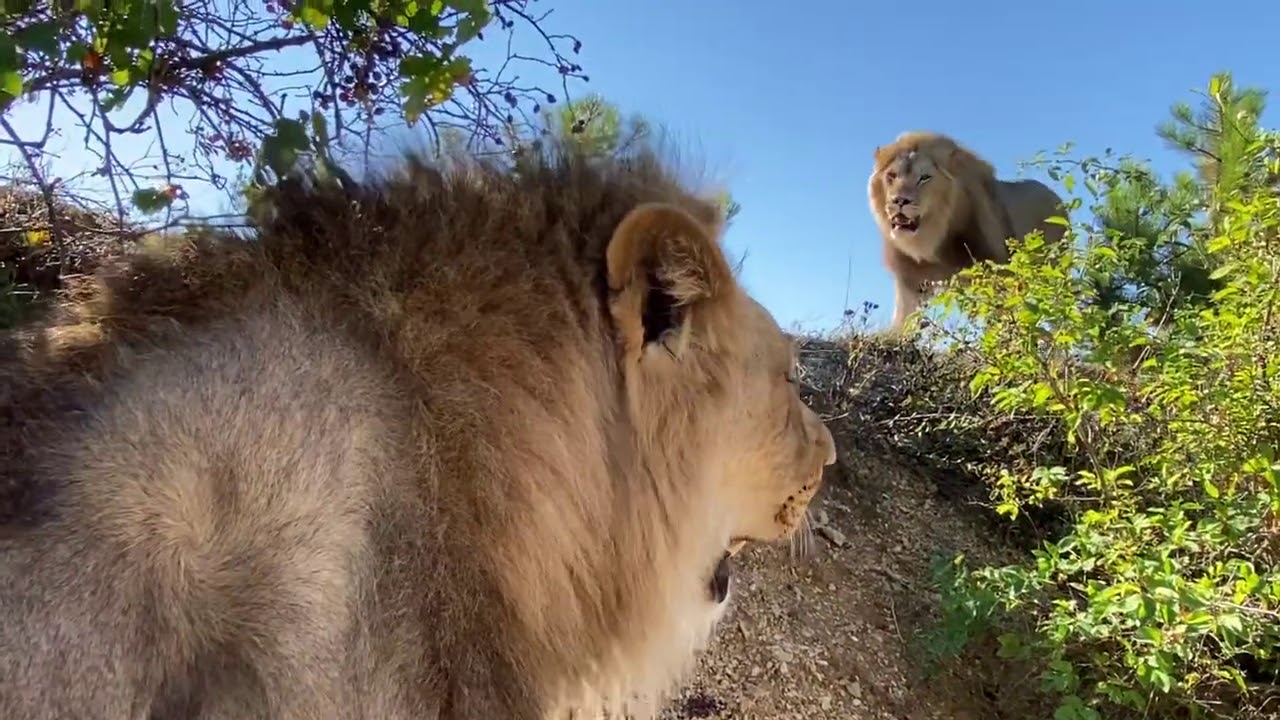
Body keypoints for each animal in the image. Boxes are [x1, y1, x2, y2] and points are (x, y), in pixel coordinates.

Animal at [868, 130, 1068, 332]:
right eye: (892, 175)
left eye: (924, 177)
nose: (899, 201)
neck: (932, 238)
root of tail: (1056, 197)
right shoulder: (911, 280)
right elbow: (903, 321)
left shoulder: (993, 277)